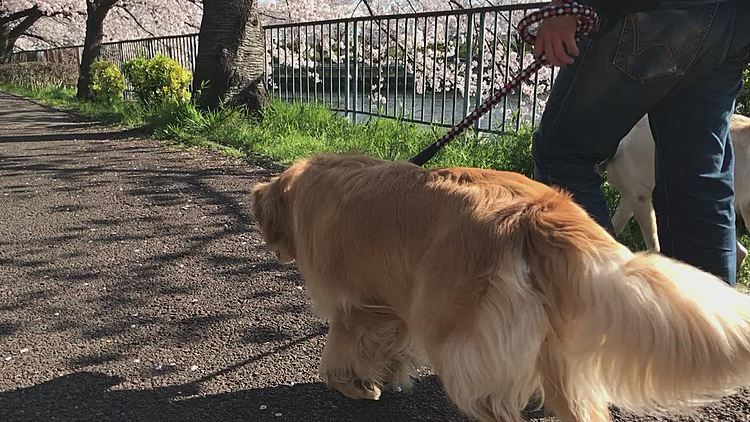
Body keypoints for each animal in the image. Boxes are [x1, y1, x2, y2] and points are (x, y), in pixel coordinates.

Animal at [254, 153, 750, 422]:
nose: (277, 253)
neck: (304, 188)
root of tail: (541, 211)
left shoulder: (355, 305)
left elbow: (337, 355)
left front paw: (359, 387)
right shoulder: (393, 304)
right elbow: (391, 345)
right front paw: (389, 377)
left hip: (457, 337)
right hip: (555, 348)